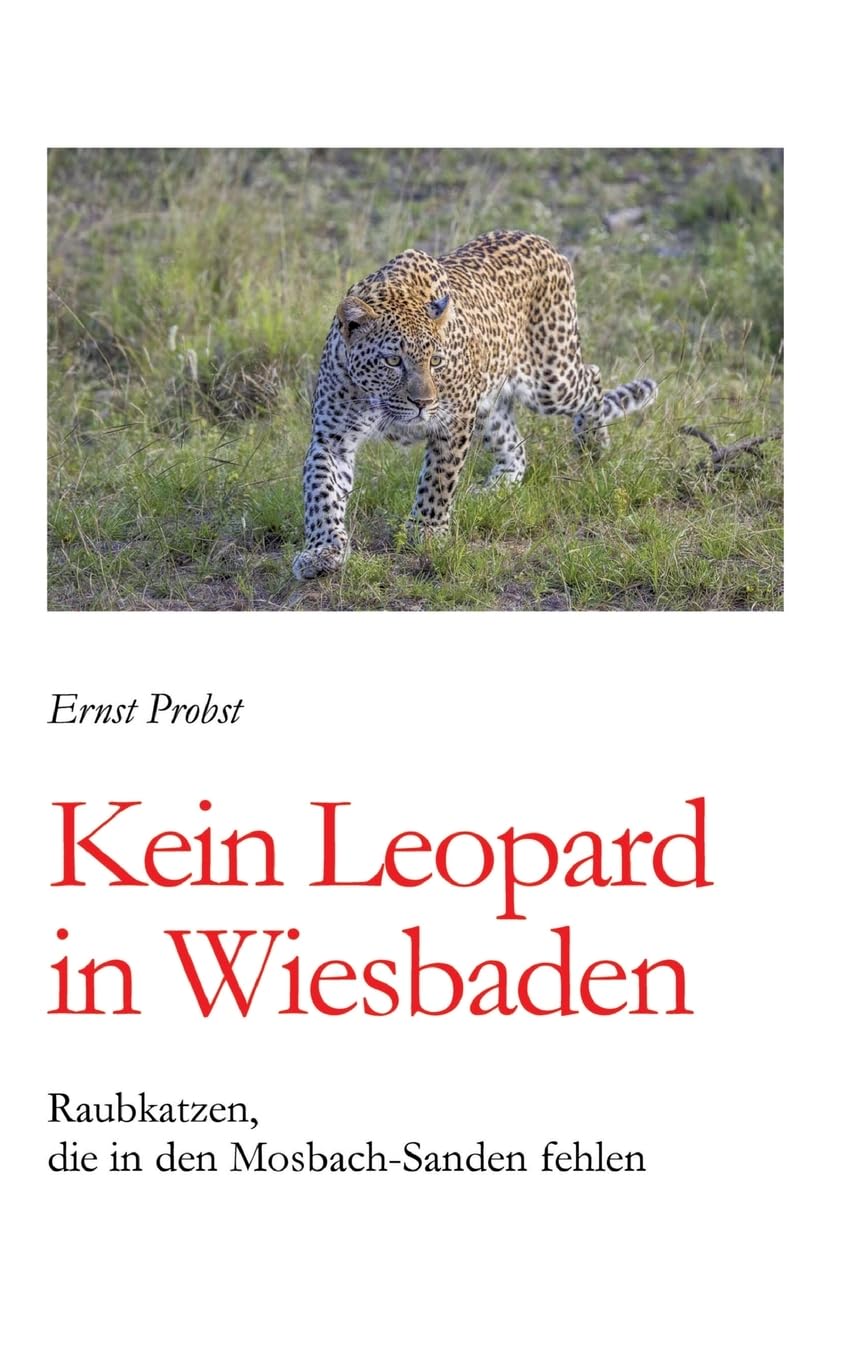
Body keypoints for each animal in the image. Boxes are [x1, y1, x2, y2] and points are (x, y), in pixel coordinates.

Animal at [292, 230, 657, 580]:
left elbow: (438, 479)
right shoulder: (332, 438)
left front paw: (426, 531)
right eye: (393, 361)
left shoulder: (453, 420)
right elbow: (321, 493)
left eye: (436, 361)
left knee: (592, 376)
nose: (423, 403)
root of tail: (545, 243)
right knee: (515, 449)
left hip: (550, 380)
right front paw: (322, 550)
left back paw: (592, 443)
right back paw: (494, 488)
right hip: (490, 405)